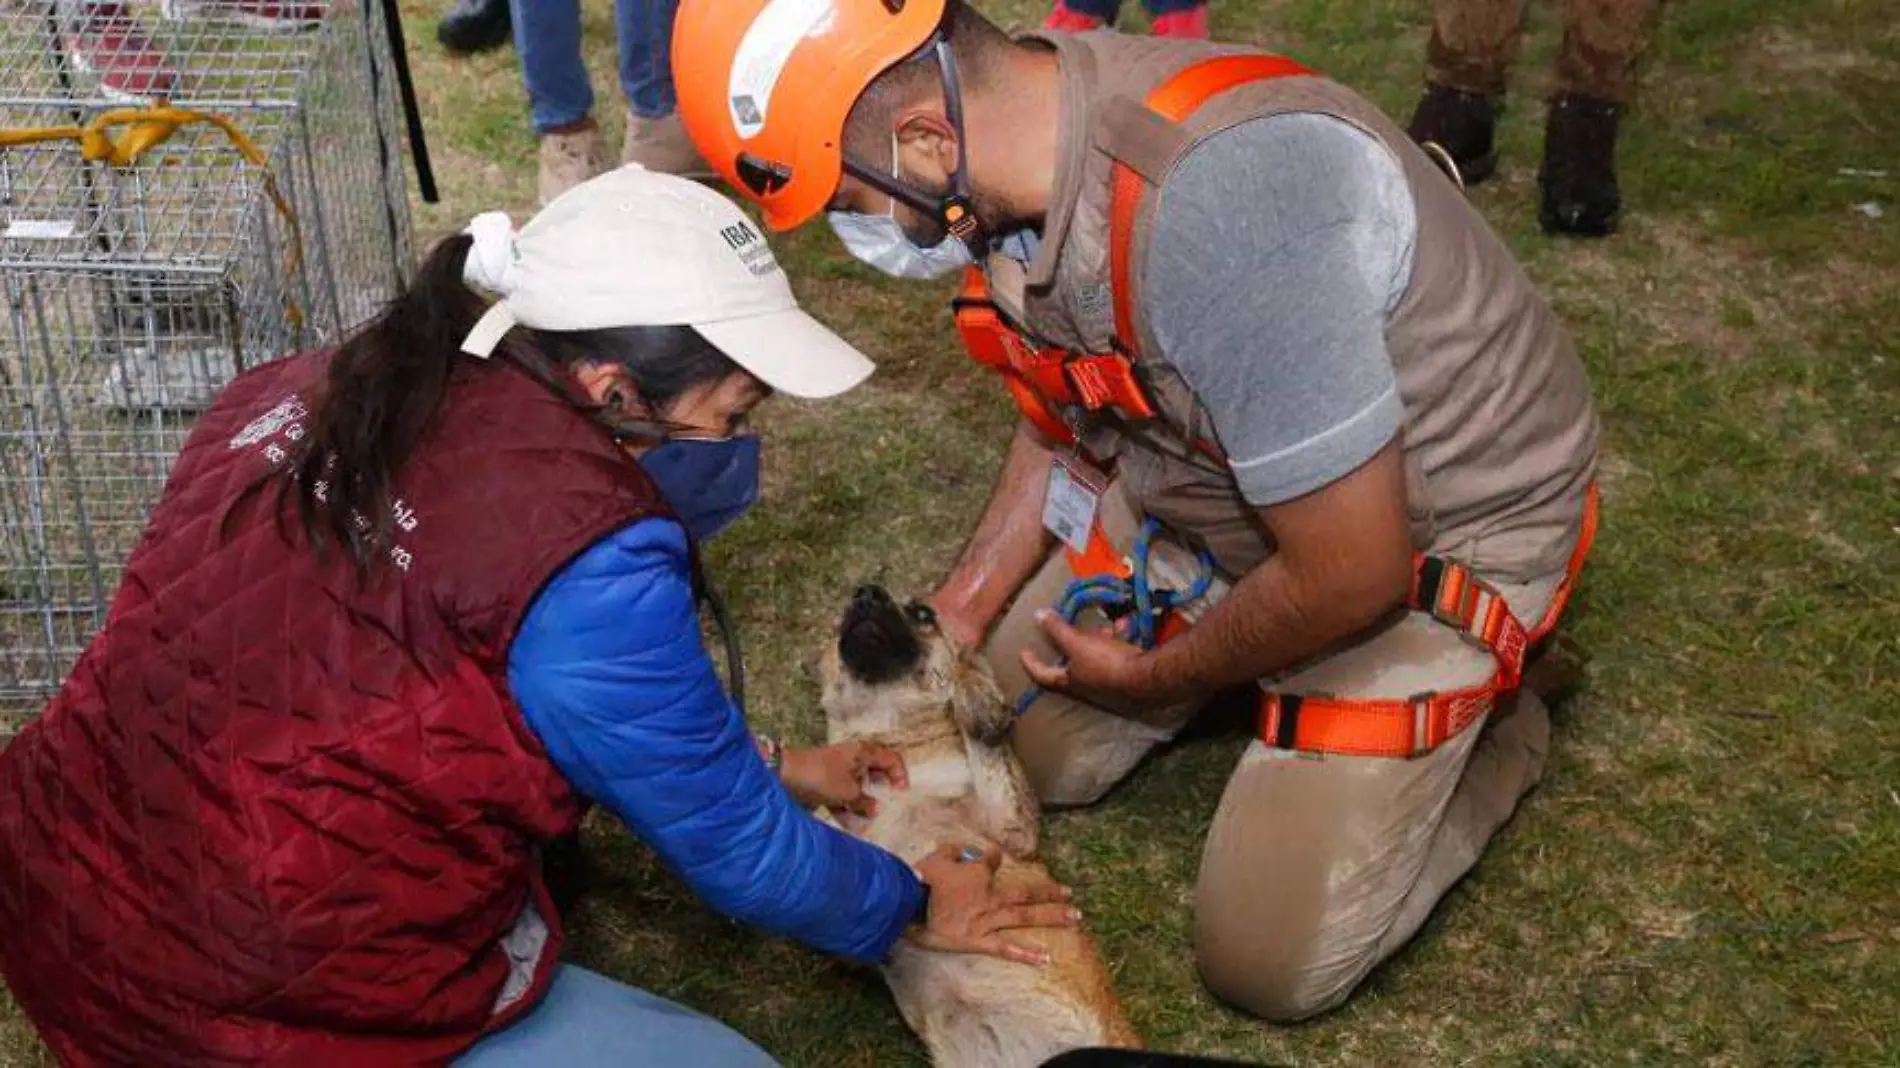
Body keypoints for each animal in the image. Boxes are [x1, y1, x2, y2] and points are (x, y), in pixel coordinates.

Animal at [813, 581, 1132, 1064]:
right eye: (841, 618)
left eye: (924, 614)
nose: (866, 591)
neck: (895, 743)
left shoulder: (1012, 830)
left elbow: (981, 738)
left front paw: (974, 694)